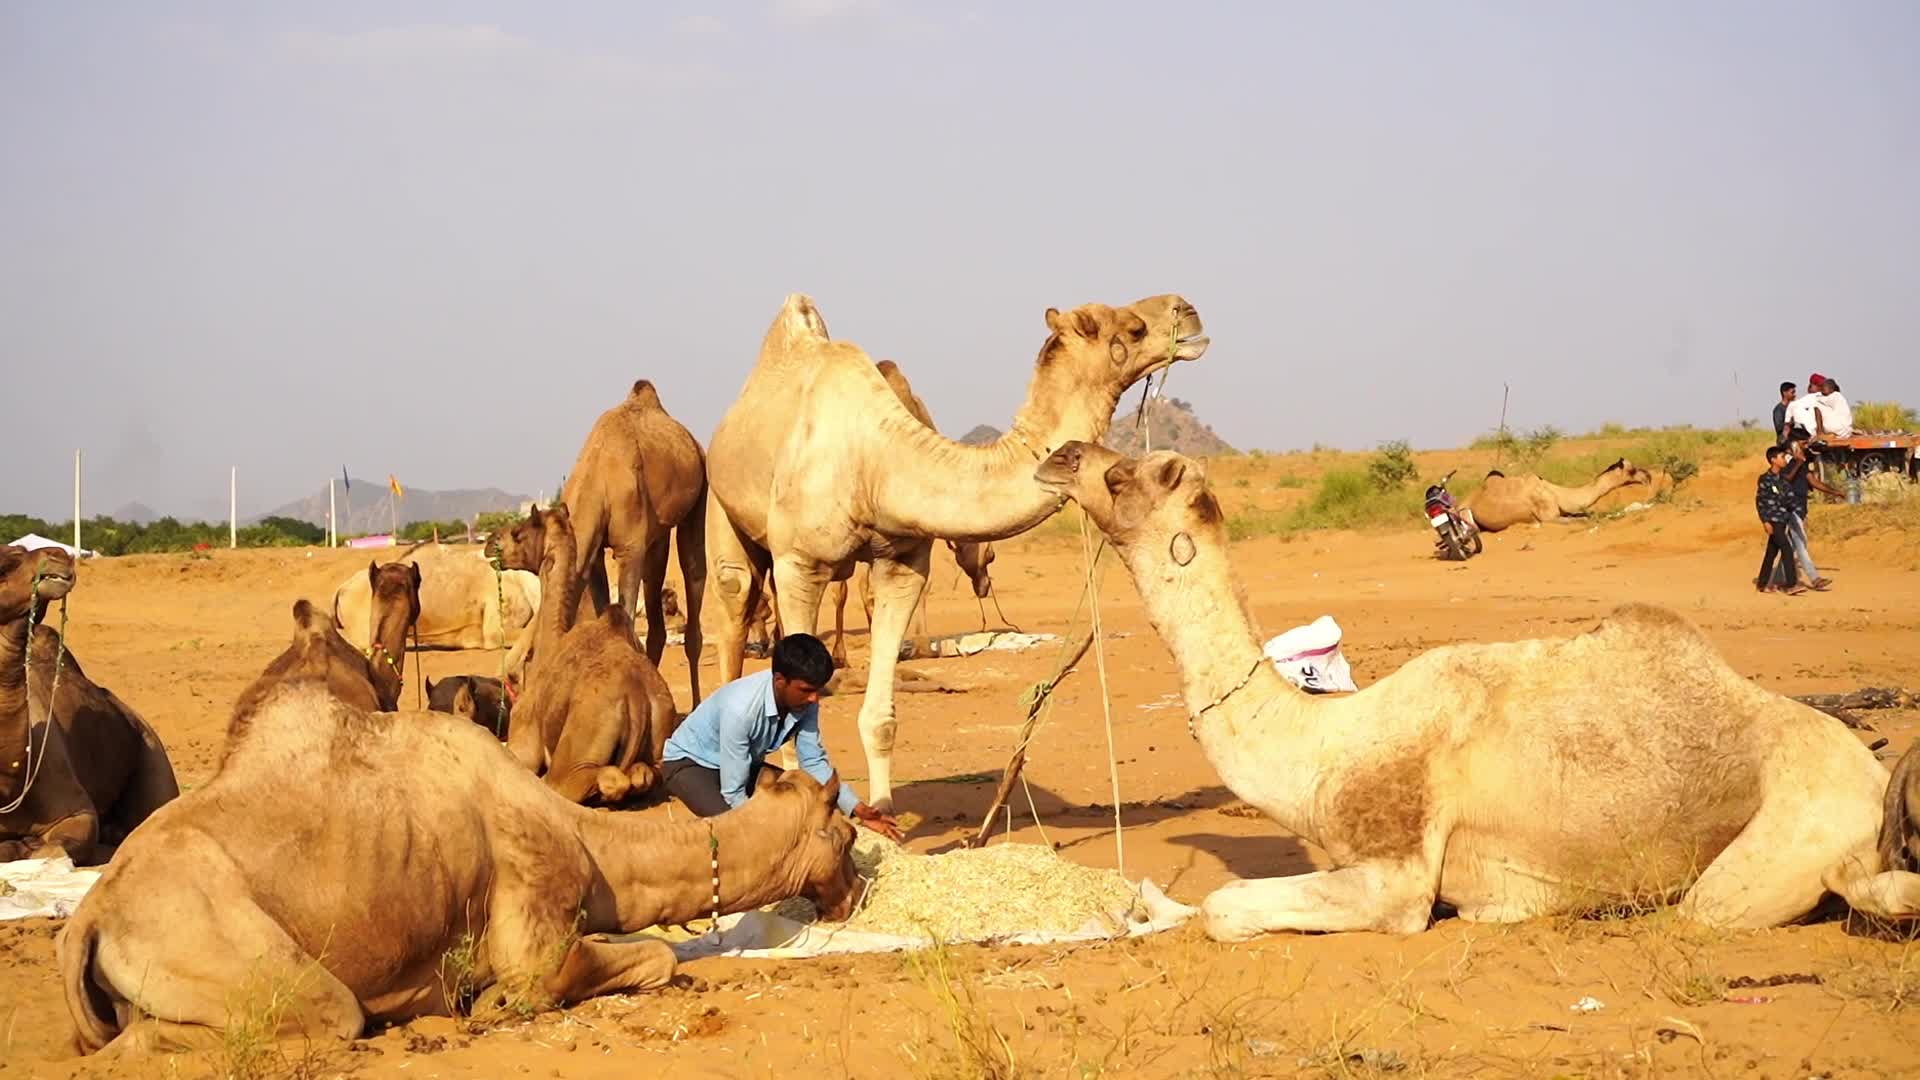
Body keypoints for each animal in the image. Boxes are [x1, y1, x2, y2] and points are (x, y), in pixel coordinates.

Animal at [57, 619, 860, 1057]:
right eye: (846, 837)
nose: (853, 895)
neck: (590, 844)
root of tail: (90, 918)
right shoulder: (537, 928)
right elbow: (648, 958)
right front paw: (496, 1003)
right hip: (226, 949)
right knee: (311, 1015)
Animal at [493, 503, 680, 805]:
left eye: (518, 532)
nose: (491, 543)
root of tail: (637, 697)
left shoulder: (523, 739)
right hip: (661, 741)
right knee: (644, 774)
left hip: (580, 745)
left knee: (589, 778)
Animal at [541, 380, 708, 707]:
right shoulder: (594, 556)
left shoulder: (630, 547)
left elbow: (626, 614)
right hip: (658, 533)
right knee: (656, 604)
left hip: (700, 490)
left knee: (694, 572)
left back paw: (697, 704)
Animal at [705, 293, 1207, 810]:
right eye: (1131, 329)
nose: (1186, 309)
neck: (877, 464)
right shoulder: (800, 564)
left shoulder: (901, 564)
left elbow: (881, 719)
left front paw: (882, 815)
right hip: (725, 507)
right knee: (734, 602)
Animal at [1466, 458, 1653, 533]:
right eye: (1632, 470)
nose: (1648, 476)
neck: (1558, 493)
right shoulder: (1550, 517)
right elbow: (1582, 520)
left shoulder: (1565, 510)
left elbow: (1589, 514)